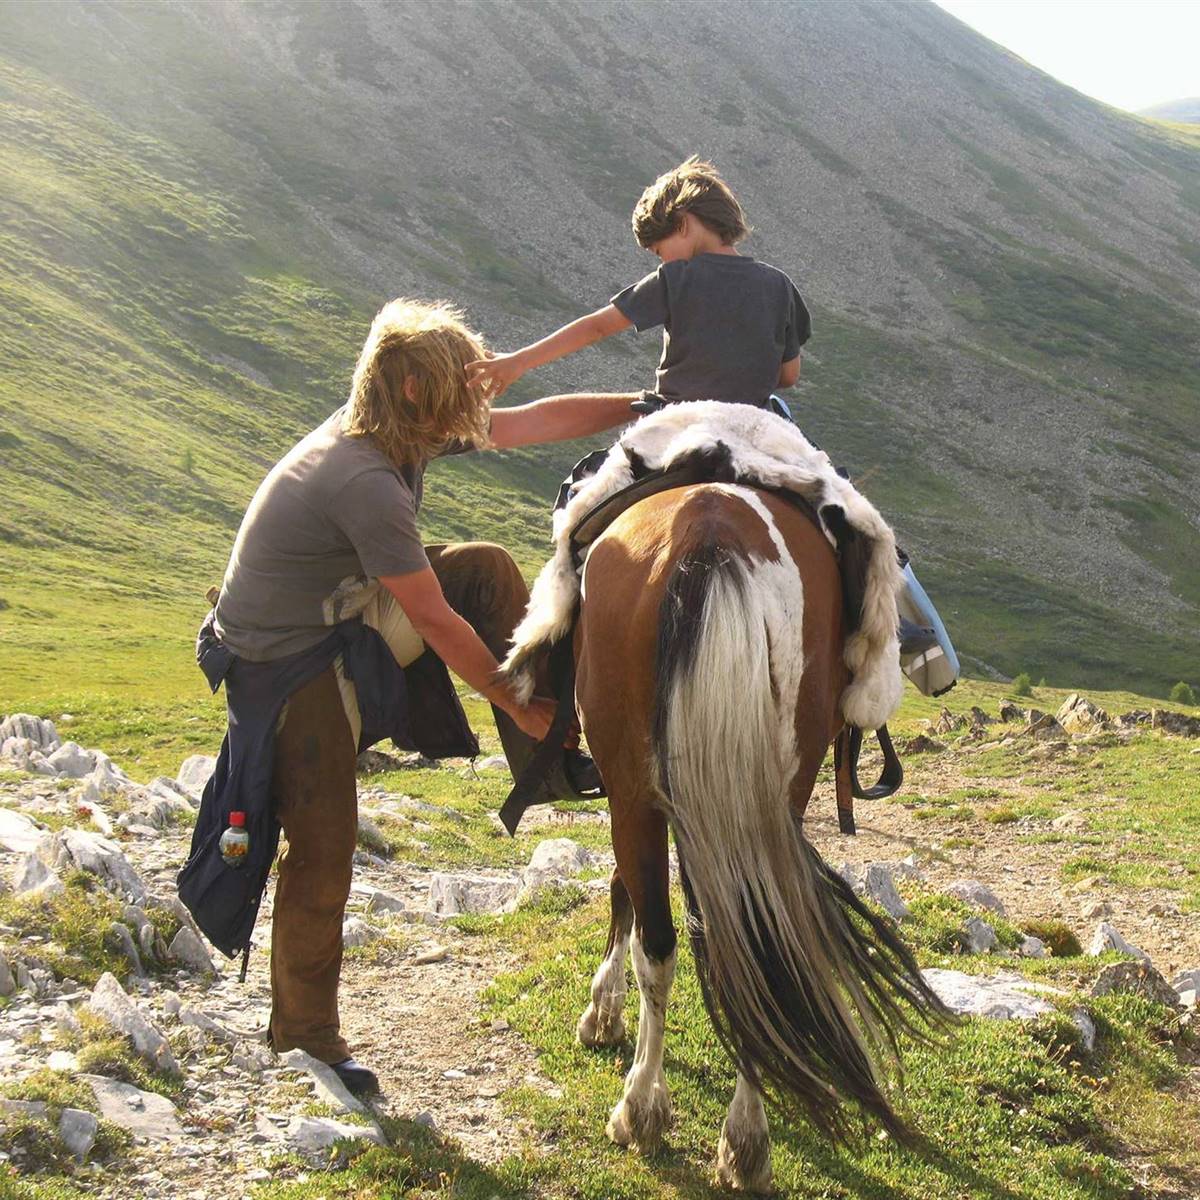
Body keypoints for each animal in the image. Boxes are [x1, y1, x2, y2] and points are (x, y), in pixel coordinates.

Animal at [566, 477, 940, 1190]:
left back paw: (648, 1111)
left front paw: (602, 1012)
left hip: (639, 792)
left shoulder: (628, 796)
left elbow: (625, 895)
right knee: (758, 939)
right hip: (770, 794)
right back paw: (744, 1139)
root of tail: (711, 534)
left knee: (672, 941)